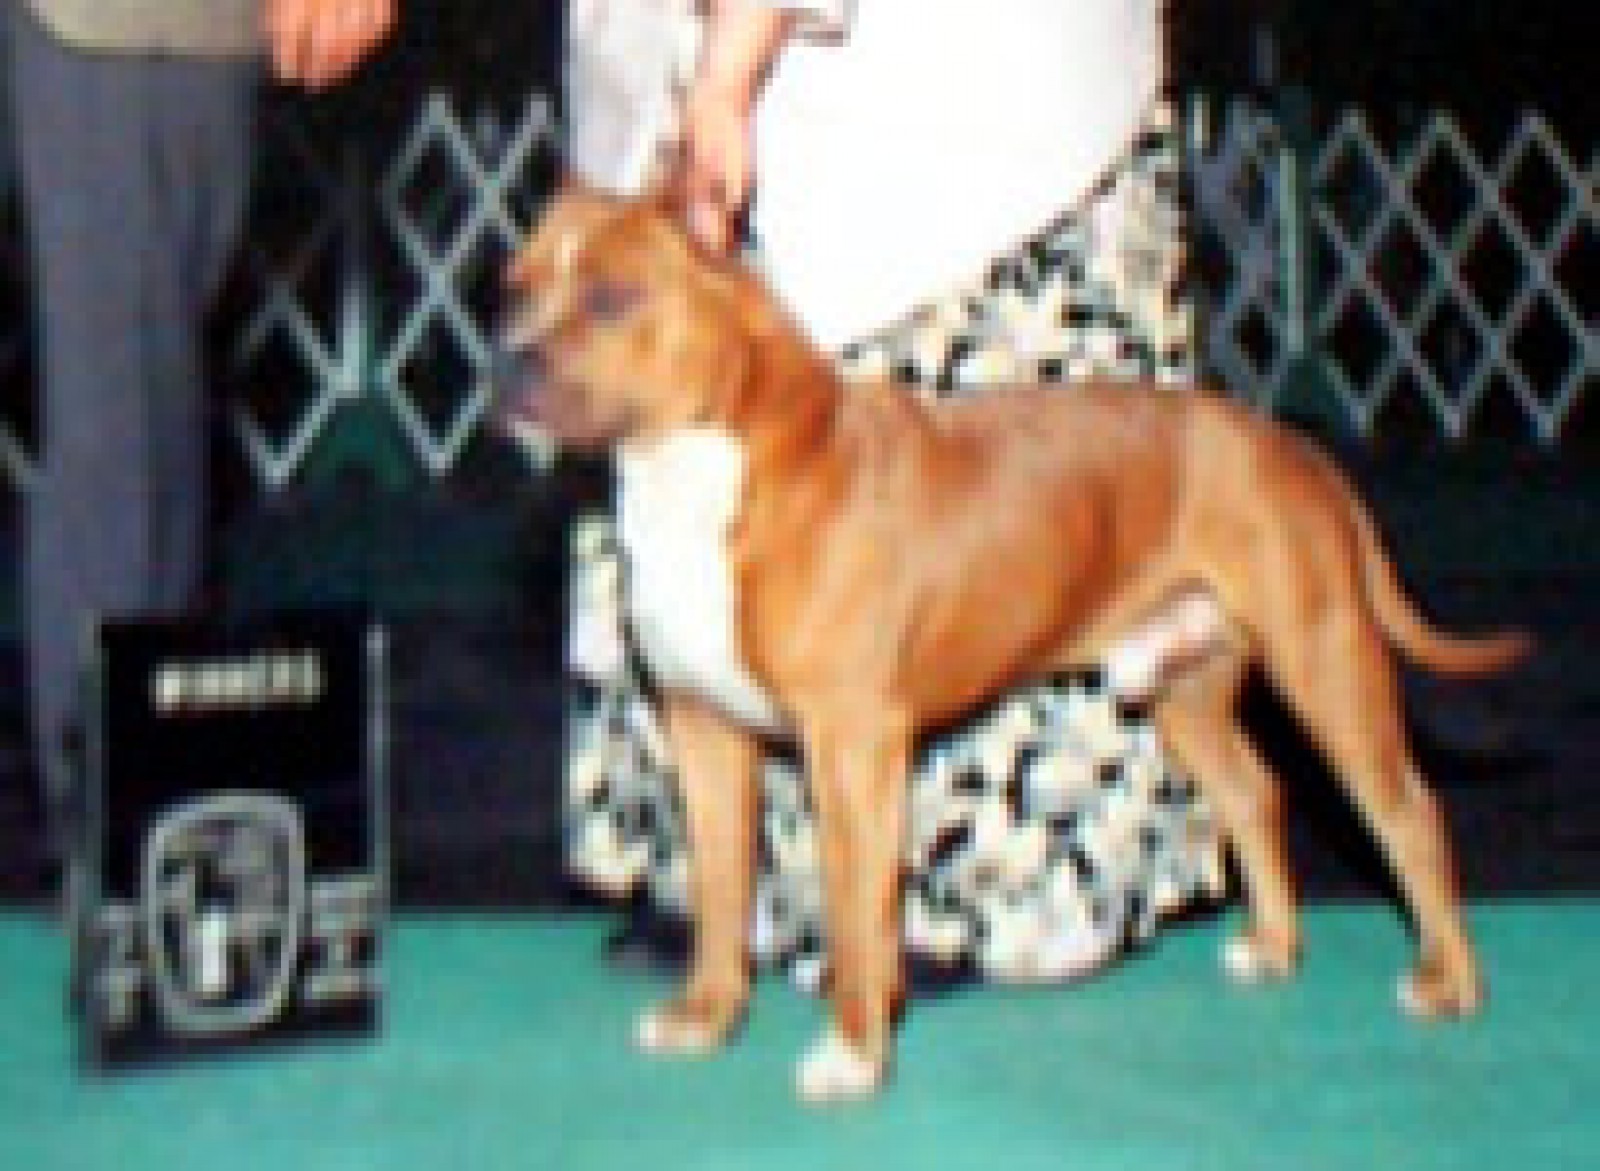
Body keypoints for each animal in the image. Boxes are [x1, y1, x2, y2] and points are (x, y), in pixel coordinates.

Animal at [497, 180, 1529, 1103]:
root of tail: (1292, 447)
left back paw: (1450, 980)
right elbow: (719, 891)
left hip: (1325, 661)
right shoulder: (706, 728)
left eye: (611, 296)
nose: (506, 365)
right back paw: (1271, 947)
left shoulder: (852, 745)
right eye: (513, 287)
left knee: (1408, 813)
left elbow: (854, 910)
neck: (714, 463)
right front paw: (708, 1016)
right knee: (1253, 792)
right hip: (1183, 684)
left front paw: (855, 1055)